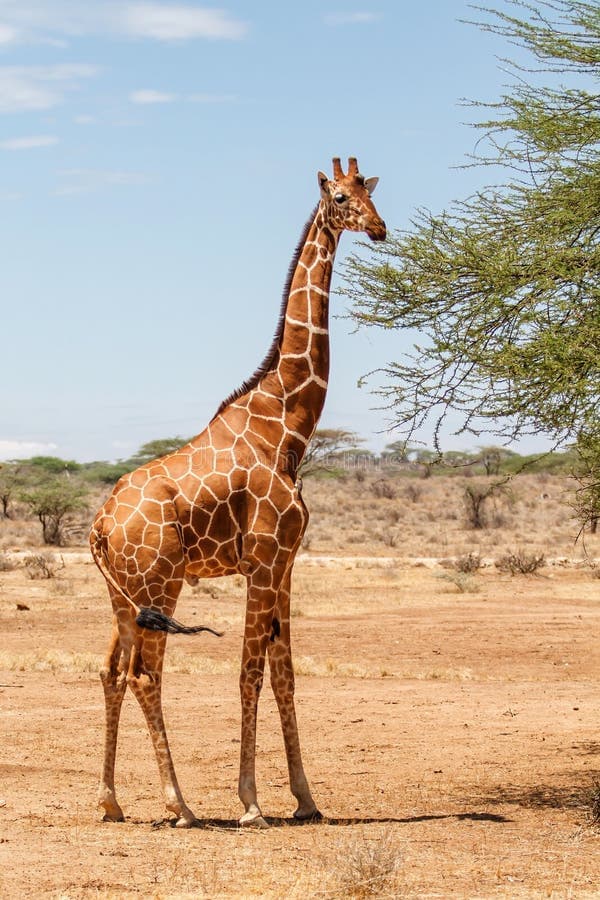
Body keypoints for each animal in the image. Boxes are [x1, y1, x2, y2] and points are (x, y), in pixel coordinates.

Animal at [90, 156, 386, 828]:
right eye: (338, 197)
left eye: (371, 191)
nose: (379, 228)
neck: (286, 427)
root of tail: (99, 524)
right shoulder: (263, 560)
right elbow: (248, 672)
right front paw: (251, 803)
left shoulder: (286, 565)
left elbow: (284, 674)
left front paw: (306, 799)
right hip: (159, 582)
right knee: (146, 675)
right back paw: (181, 805)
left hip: (125, 594)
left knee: (112, 671)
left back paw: (111, 800)